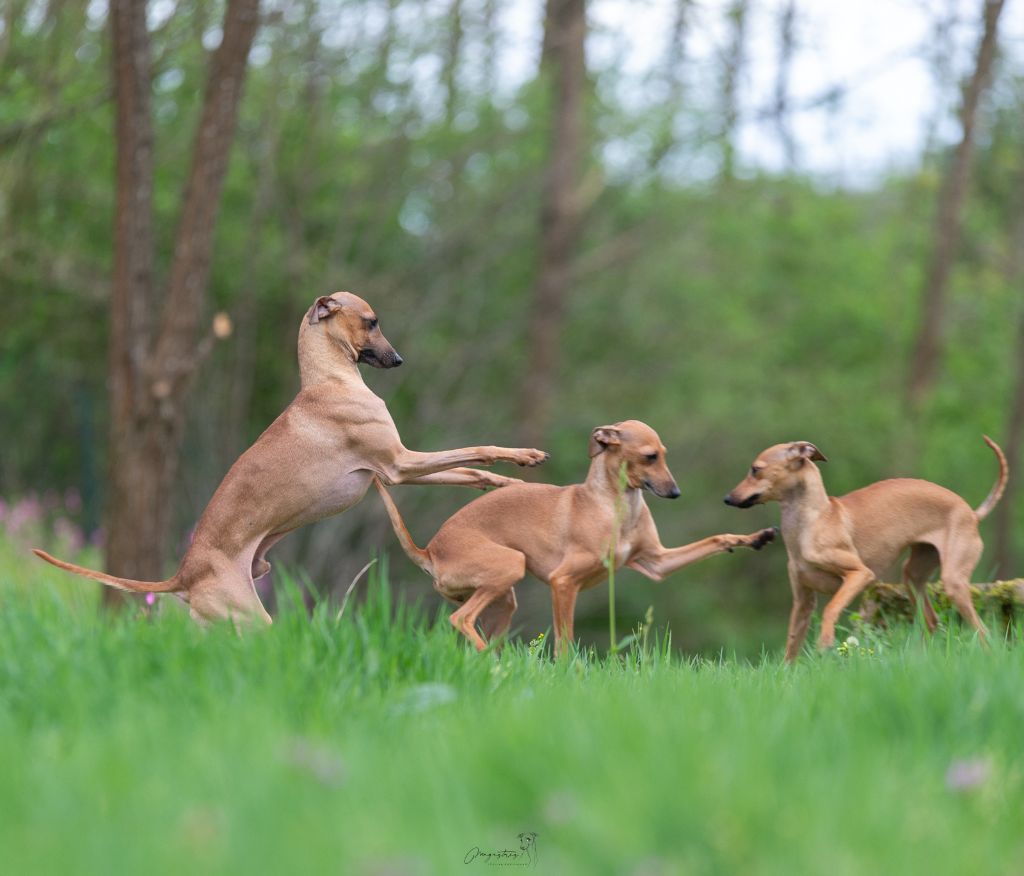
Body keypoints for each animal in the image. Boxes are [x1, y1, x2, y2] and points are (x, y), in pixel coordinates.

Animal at [32, 290, 548, 627]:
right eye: (372, 320)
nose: (398, 360)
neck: (330, 381)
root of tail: (182, 575)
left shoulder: (392, 470)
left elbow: (470, 470)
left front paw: (515, 486)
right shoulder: (399, 466)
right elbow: (478, 449)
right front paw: (524, 456)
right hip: (251, 618)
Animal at [376, 422, 774, 655]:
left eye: (663, 455)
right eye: (650, 456)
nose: (675, 492)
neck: (614, 507)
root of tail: (429, 551)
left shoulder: (657, 563)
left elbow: (716, 540)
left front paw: (755, 536)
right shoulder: (562, 582)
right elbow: (564, 642)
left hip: (502, 600)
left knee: (474, 632)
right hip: (510, 567)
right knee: (460, 620)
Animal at [720, 434, 1007, 659]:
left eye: (755, 469)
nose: (727, 498)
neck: (812, 521)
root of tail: (972, 514)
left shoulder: (860, 575)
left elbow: (831, 608)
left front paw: (825, 642)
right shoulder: (803, 602)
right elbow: (791, 646)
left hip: (953, 581)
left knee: (983, 631)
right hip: (914, 576)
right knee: (933, 621)